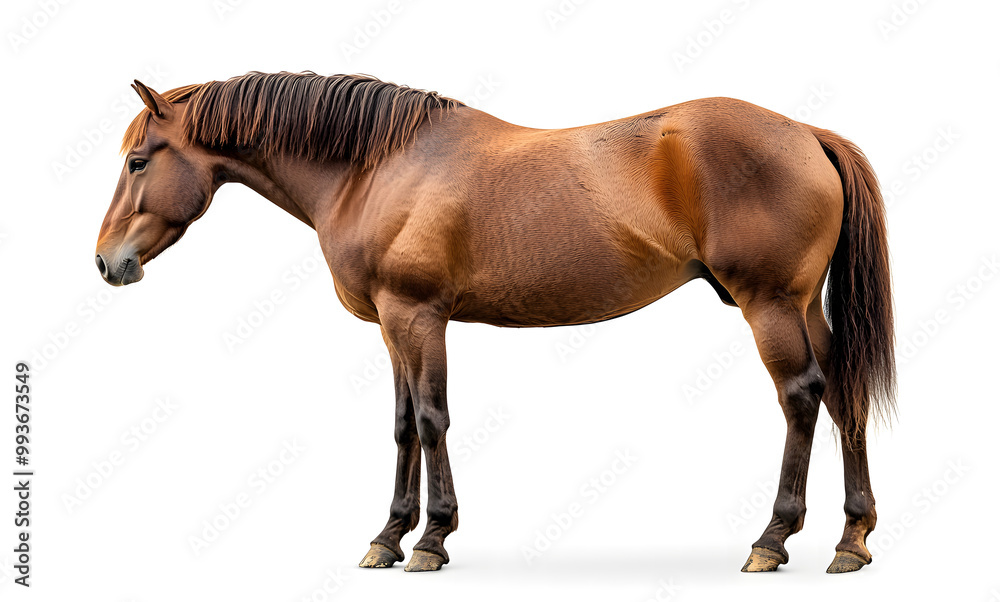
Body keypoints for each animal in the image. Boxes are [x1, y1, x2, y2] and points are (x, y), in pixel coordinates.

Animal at [95, 71, 895, 573]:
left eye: (138, 160)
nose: (107, 262)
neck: (376, 168)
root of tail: (806, 132)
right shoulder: (391, 325)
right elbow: (401, 425)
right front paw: (388, 537)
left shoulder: (418, 317)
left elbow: (431, 419)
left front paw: (431, 539)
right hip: (802, 305)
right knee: (844, 394)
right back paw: (851, 540)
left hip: (770, 304)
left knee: (801, 397)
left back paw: (773, 539)